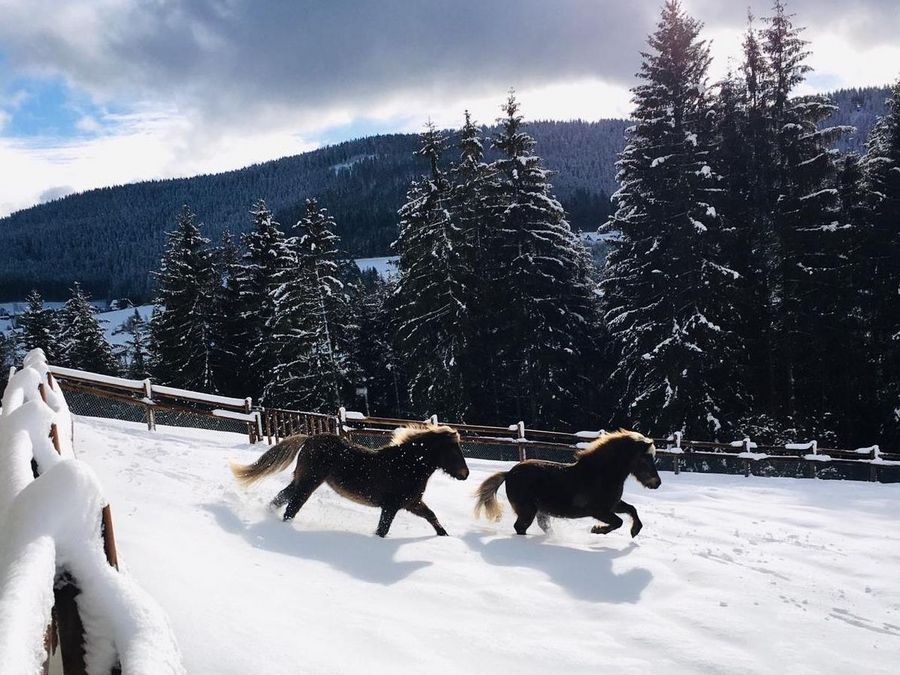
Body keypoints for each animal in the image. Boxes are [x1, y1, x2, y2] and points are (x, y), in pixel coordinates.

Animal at [230, 425, 469, 537]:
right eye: (453, 450)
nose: (465, 474)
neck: (407, 465)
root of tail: (309, 438)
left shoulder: (412, 503)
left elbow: (432, 517)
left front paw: (446, 537)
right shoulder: (392, 505)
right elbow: (383, 529)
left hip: (301, 480)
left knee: (281, 498)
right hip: (309, 482)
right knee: (292, 507)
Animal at [473, 430, 661, 537]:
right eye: (645, 458)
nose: (657, 483)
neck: (601, 474)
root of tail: (508, 474)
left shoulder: (613, 505)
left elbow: (632, 509)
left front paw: (634, 531)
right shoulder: (599, 511)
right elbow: (618, 522)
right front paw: (597, 530)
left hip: (541, 511)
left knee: (542, 526)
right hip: (528, 511)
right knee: (520, 527)